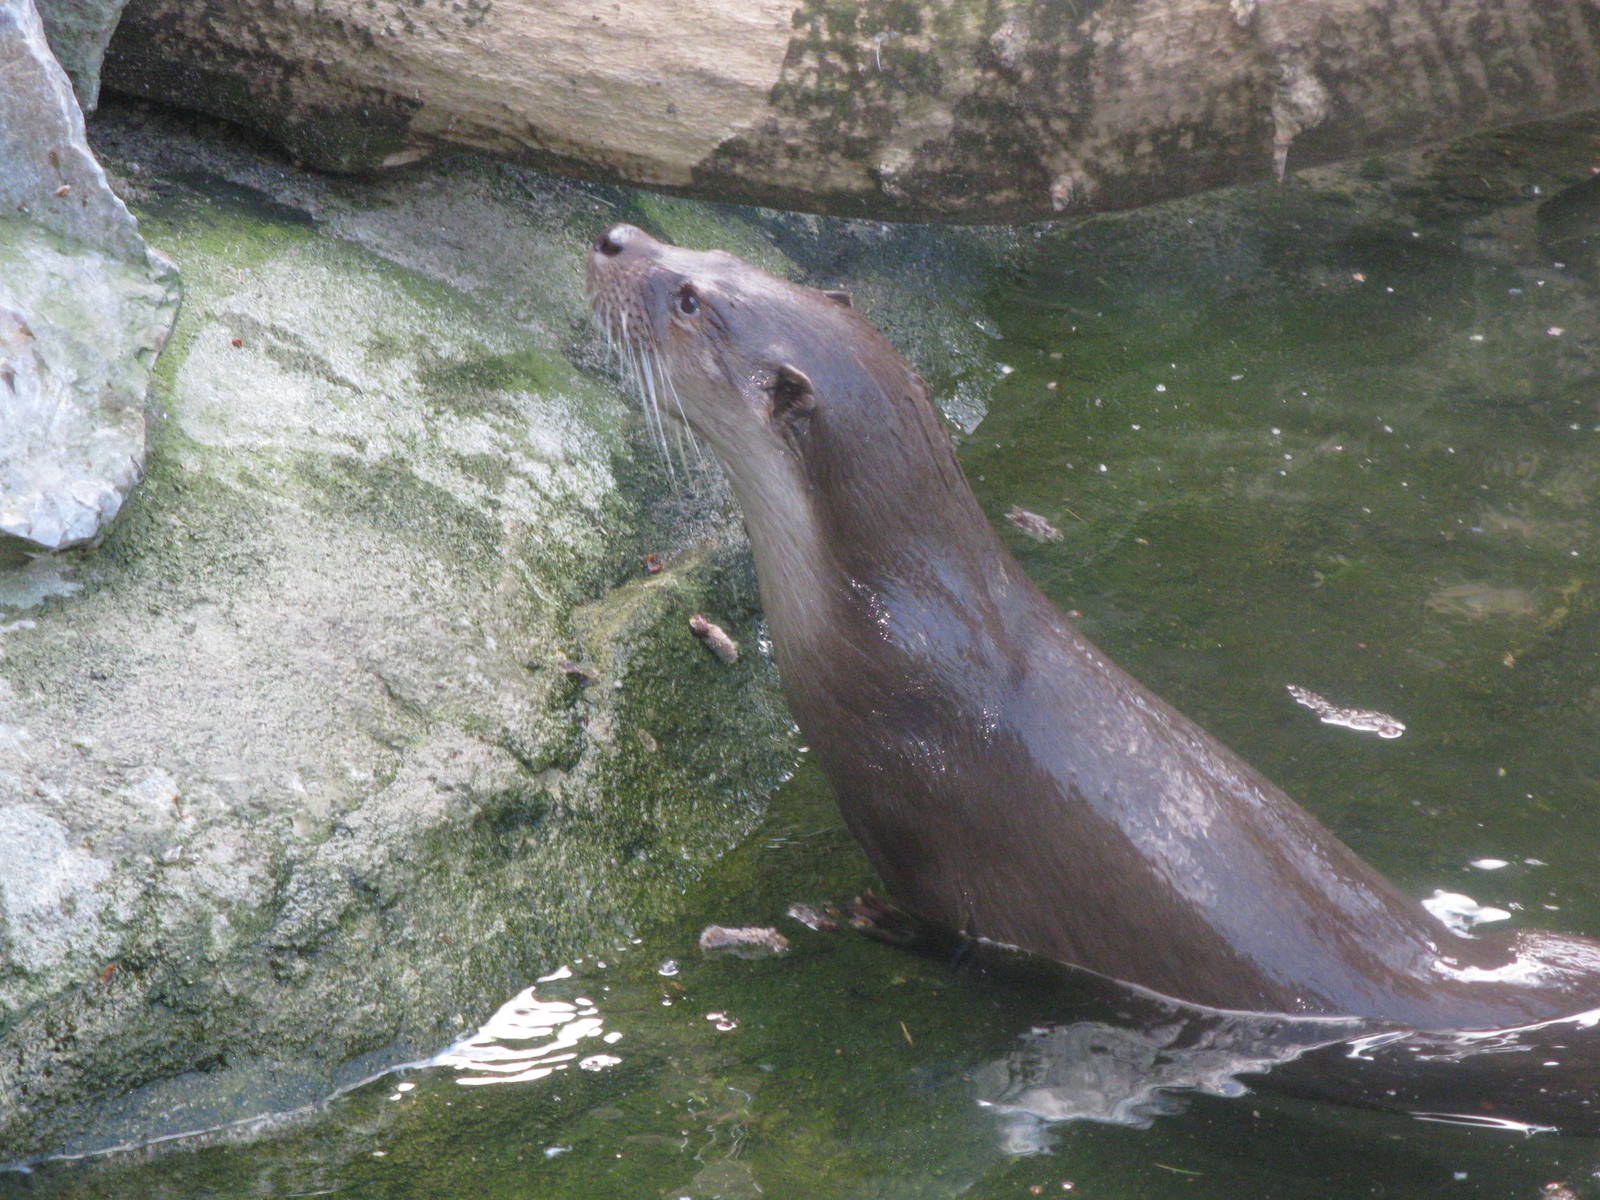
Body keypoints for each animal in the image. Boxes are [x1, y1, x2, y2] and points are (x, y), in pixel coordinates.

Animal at [586, 224, 1600, 1031]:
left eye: (689, 299)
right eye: (706, 253)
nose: (614, 237)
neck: (892, 638)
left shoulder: (918, 819)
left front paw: (853, 921)